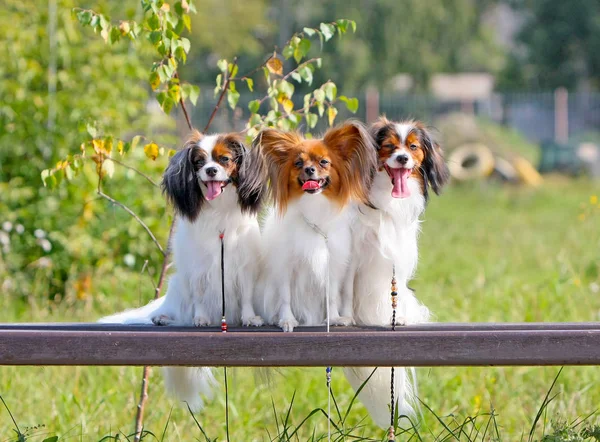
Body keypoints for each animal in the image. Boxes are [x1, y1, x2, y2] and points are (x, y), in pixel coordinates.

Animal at [99, 130, 266, 410]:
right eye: (198, 163)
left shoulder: (243, 267)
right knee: (179, 311)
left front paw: (250, 318)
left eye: (224, 159)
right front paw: (200, 319)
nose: (211, 170)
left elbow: (246, 297)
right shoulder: (197, 268)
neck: (219, 211)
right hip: (177, 286)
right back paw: (164, 318)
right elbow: (198, 296)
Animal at [255, 121, 378, 332]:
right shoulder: (285, 264)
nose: (309, 170)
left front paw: (335, 318)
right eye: (298, 163)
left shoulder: (332, 263)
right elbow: (285, 296)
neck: (314, 205)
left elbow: (332, 296)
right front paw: (287, 320)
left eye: (324, 162)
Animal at [342, 116, 450, 428]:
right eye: (389, 147)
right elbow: (346, 290)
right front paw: (346, 319)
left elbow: (397, 290)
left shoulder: (397, 256)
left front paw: (399, 317)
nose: (402, 158)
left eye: (413, 148)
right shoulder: (352, 255)